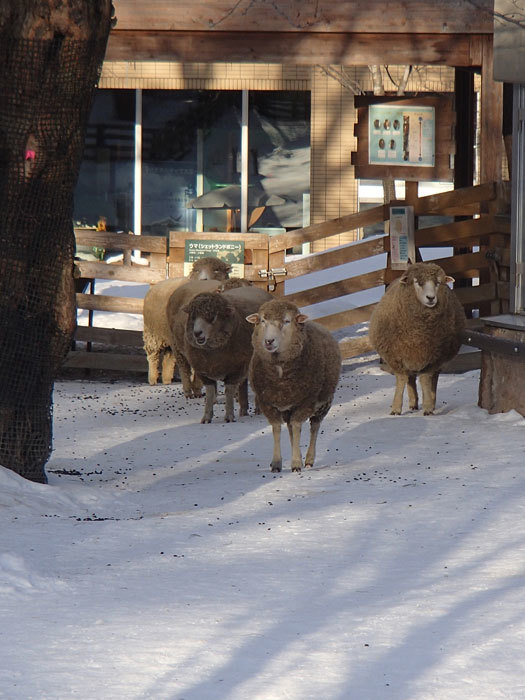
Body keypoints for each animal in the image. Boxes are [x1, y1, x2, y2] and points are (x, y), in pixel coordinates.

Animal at [144, 258, 232, 386]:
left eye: (217, 270)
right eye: (196, 270)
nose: (204, 279)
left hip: (170, 336)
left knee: (169, 357)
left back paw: (167, 379)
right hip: (152, 333)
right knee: (152, 355)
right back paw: (152, 379)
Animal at [169, 284, 274, 422]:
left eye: (213, 316)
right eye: (193, 316)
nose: (197, 333)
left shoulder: (236, 369)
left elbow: (229, 392)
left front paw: (229, 416)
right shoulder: (203, 371)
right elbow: (210, 393)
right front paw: (207, 417)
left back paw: (258, 410)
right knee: (243, 386)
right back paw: (243, 410)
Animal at [247, 298, 342, 474]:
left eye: (287, 321)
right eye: (262, 321)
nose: (269, 341)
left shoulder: (305, 402)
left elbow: (298, 427)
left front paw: (296, 463)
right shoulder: (267, 403)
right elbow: (277, 429)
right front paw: (276, 463)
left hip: (324, 403)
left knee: (314, 428)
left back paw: (309, 459)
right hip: (289, 409)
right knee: (291, 429)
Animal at [366, 262, 464, 416]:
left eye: (438, 282)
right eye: (418, 282)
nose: (431, 298)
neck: (418, 334)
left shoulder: (433, 357)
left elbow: (425, 380)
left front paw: (428, 407)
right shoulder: (396, 356)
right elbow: (401, 380)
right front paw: (396, 408)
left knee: (433, 379)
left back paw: (431, 401)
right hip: (409, 355)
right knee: (410, 378)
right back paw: (412, 402)